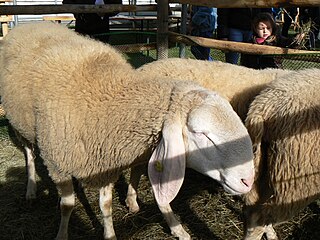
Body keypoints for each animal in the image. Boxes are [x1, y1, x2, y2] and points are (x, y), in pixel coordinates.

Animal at [0, 22, 255, 240]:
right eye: (202, 133)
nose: (248, 181)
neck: (109, 100)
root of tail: (32, 23)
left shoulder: (104, 162)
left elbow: (106, 206)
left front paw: (110, 233)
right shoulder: (57, 164)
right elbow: (67, 206)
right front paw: (62, 234)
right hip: (20, 124)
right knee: (29, 154)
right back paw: (31, 189)